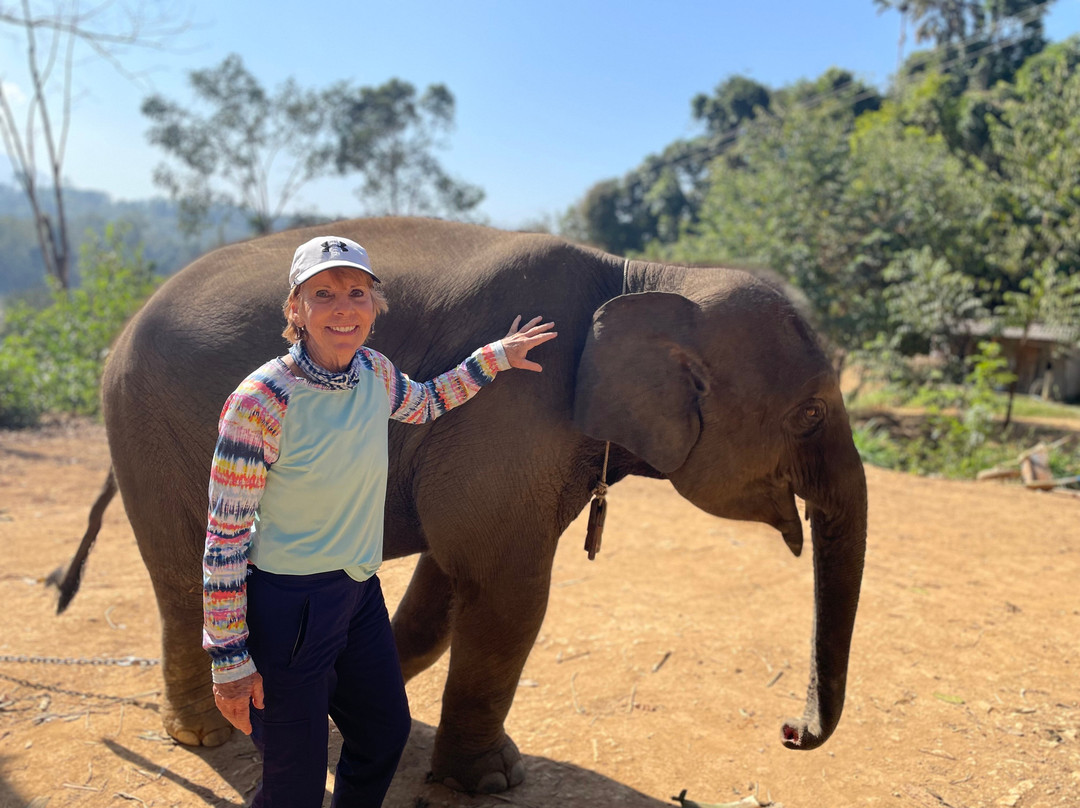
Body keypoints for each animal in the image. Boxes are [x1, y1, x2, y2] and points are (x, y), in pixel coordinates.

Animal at [62, 216, 867, 794]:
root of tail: (121, 329)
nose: (790, 732)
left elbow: (447, 587)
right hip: (150, 428)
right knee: (186, 575)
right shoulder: (512, 420)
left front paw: (354, 712)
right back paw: (205, 736)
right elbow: (508, 591)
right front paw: (492, 779)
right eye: (810, 415)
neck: (643, 277)